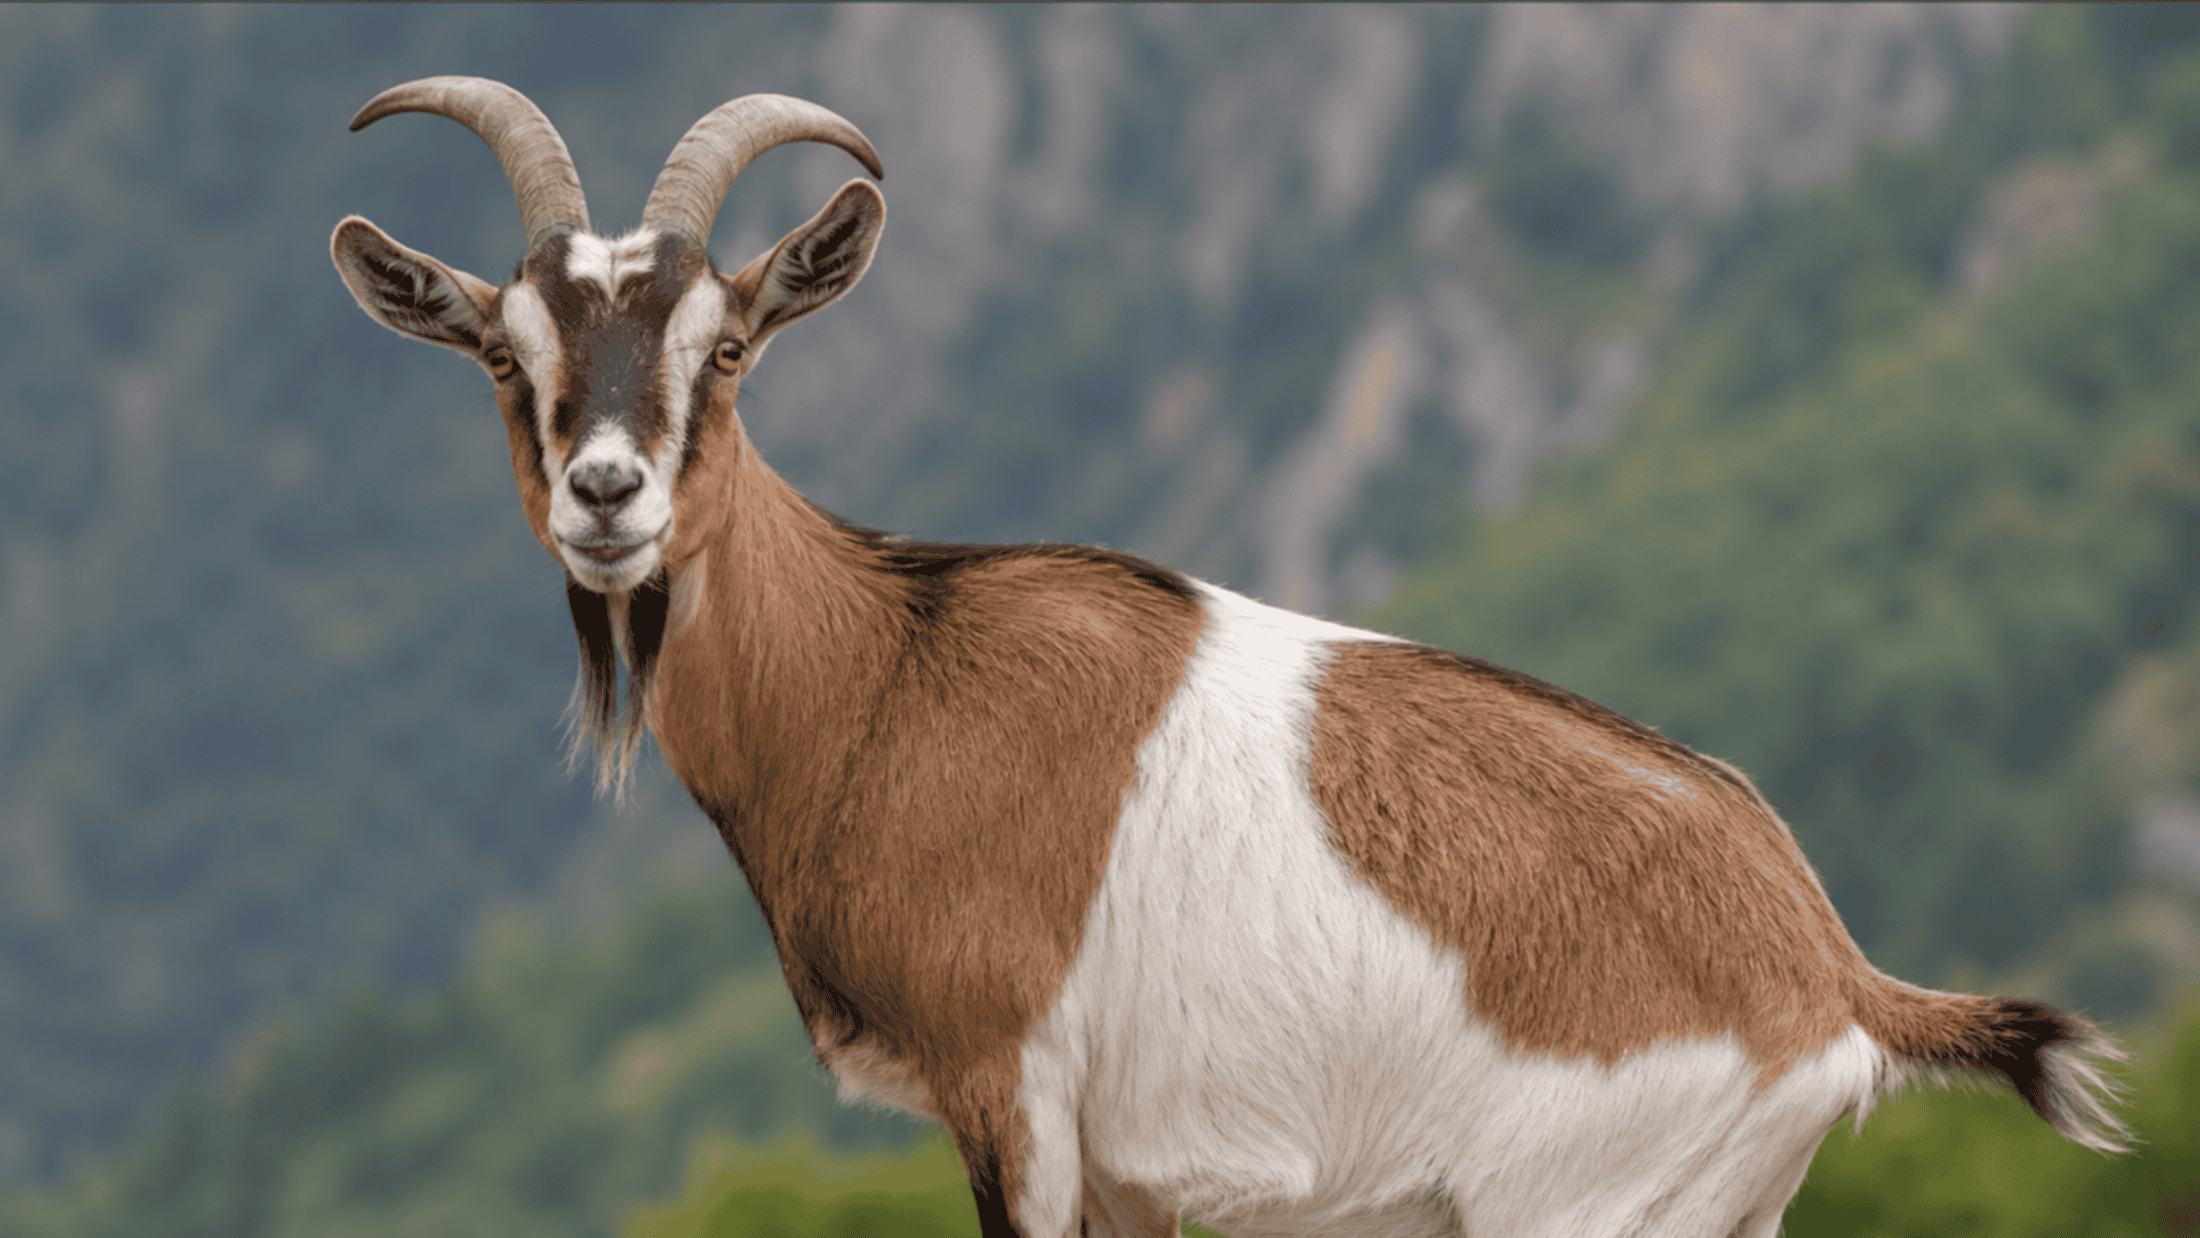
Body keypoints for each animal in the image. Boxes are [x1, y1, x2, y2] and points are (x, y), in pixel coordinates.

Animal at [331, 77, 2127, 1238]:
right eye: (506, 353)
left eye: (726, 349)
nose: (607, 495)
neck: (888, 673)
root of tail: (1826, 963)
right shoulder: (1128, 1164)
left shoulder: (1014, 1090)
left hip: (1580, 1211)